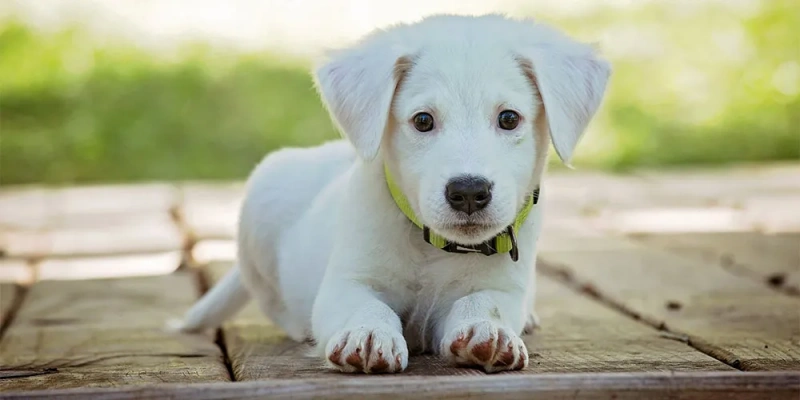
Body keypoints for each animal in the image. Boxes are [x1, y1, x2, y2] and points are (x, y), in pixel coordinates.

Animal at [178, 13, 608, 376]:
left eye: (508, 118)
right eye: (423, 121)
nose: (469, 192)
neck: (432, 246)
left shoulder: (502, 287)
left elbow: (484, 302)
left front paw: (488, 331)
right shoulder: (347, 282)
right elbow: (366, 305)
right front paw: (368, 334)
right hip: (262, 203)